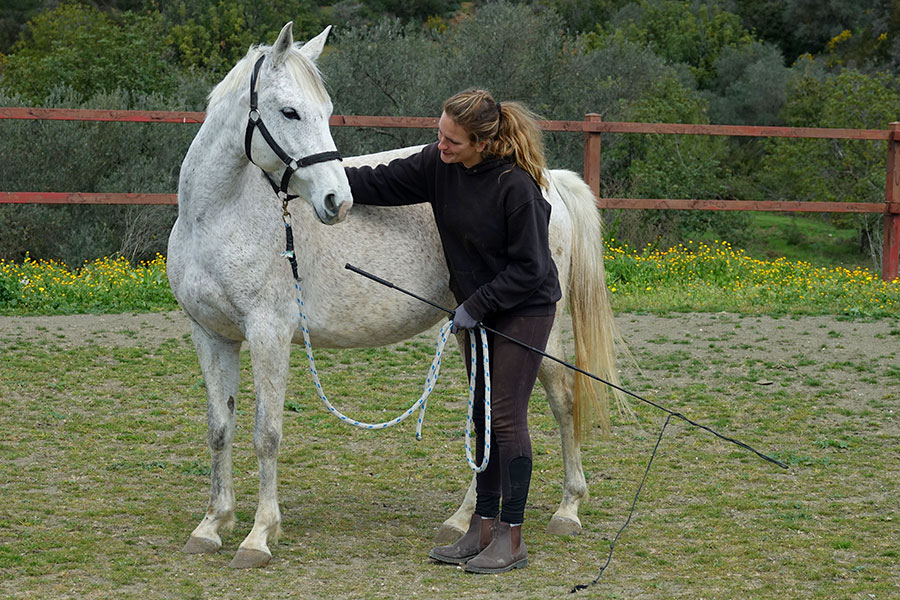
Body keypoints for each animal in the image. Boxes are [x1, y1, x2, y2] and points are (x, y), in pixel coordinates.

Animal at [167, 23, 625, 569]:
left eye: (325, 111)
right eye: (290, 111)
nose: (337, 200)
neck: (218, 218)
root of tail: (546, 181)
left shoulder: (268, 335)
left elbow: (267, 434)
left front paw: (259, 536)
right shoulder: (210, 335)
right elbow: (220, 429)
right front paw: (212, 525)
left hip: (539, 333)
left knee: (558, 400)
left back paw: (567, 509)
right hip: (471, 331)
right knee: (489, 416)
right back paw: (462, 520)